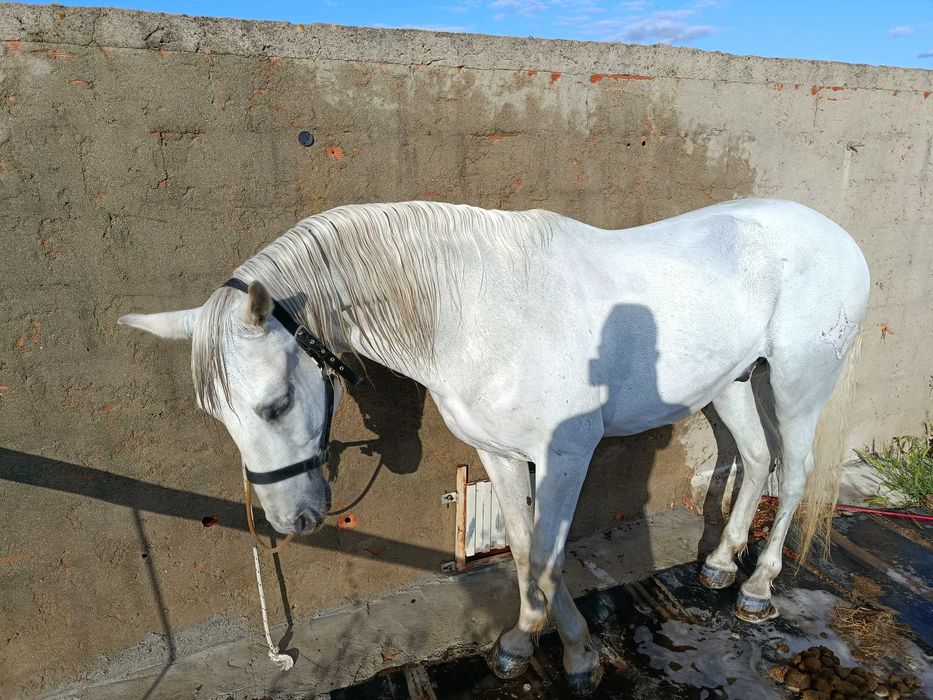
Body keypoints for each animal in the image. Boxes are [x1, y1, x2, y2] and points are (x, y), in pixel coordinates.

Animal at [119, 198, 869, 696]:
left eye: (273, 403)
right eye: (215, 413)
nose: (289, 520)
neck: (474, 313)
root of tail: (833, 233)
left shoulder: (566, 455)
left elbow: (547, 554)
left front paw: (565, 655)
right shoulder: (502, 456)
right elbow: (525, 546)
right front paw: (530, 645)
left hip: (800, 382)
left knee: (794, 472)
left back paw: (757, 587)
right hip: (732, 382)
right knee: (756, 458)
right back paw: (717, 563)